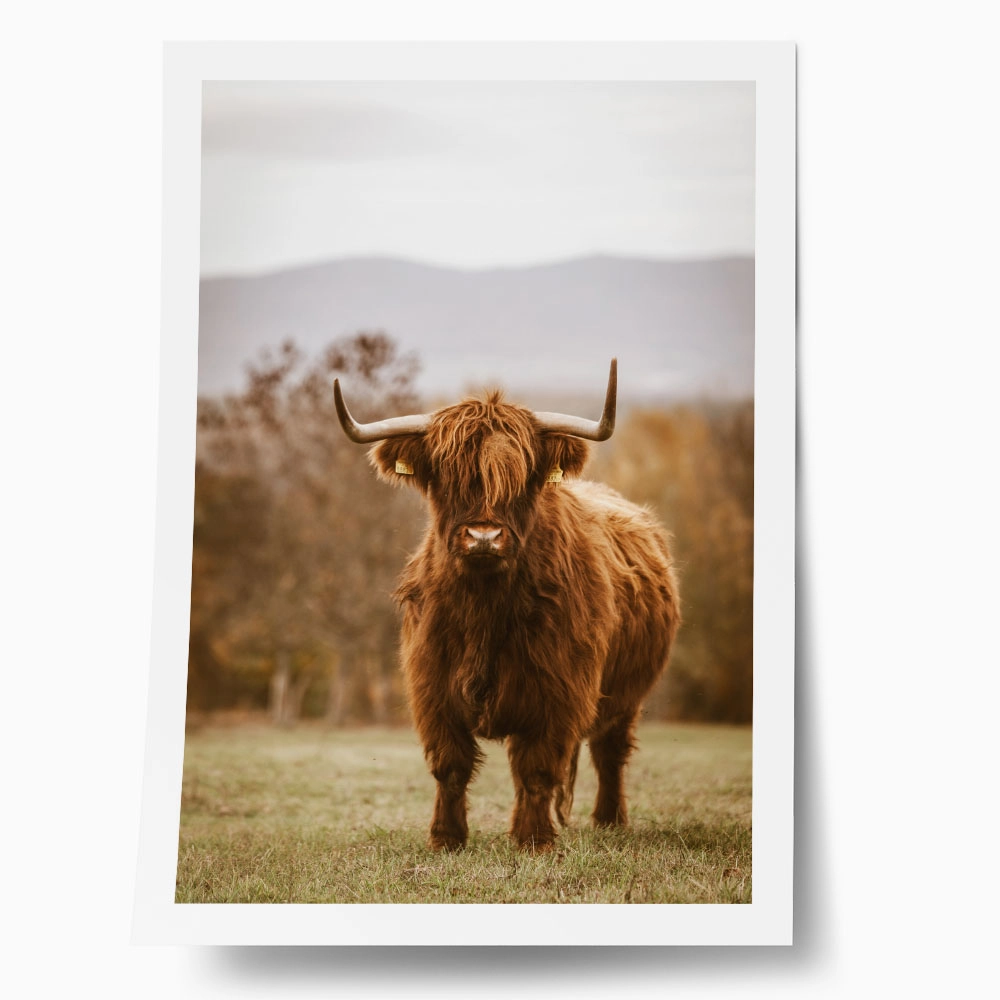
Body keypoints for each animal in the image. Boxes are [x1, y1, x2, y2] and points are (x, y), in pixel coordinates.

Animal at [334, 359, 680, 852]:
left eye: (522, 478)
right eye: (446, 475)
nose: (484, 536)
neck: (485, 607)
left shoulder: (559, 690)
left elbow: (537, 767)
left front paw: (534, 840)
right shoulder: (432, 687)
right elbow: (450, 766)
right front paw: (446, 838)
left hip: (626, 693)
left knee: (609, 750)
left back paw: (610, 821)